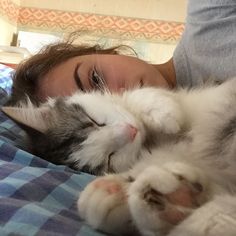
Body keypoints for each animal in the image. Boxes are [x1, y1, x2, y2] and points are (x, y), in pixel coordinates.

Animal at [2, 78, 236, 235]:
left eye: (94, 122)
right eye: (109, 158)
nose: (130, 131)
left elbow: (144, 95)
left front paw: (166, 115)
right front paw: (114, 193)